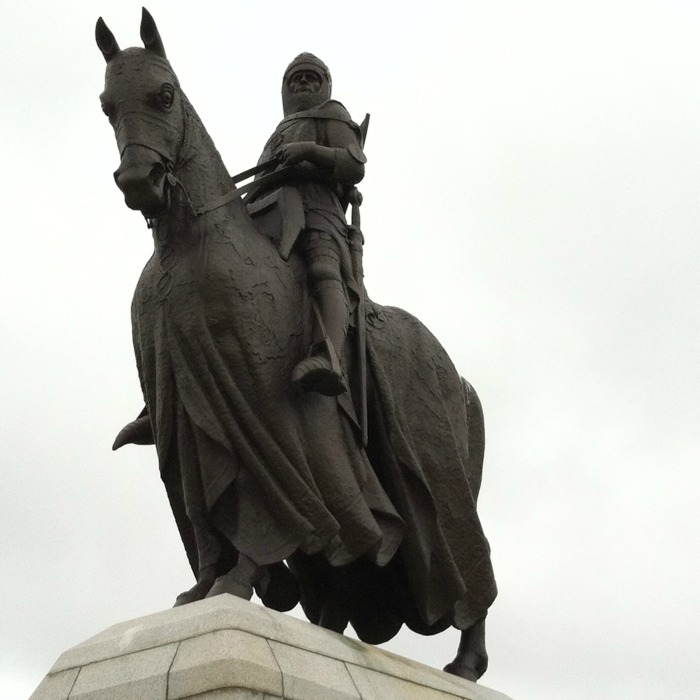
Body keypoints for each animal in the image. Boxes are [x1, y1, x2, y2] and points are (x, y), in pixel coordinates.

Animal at [95, 8, 498, 680]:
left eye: (165, 94)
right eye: (107, 104)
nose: (138, 181)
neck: (191, 246)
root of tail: (458, 380)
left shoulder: (263, 414)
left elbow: (268, 502)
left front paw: (239, 580)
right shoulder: (182, 411)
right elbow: (204, 512)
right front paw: (202, 590)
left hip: (446, 481)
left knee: (470, 564)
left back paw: (466, 662)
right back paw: (331, 625)